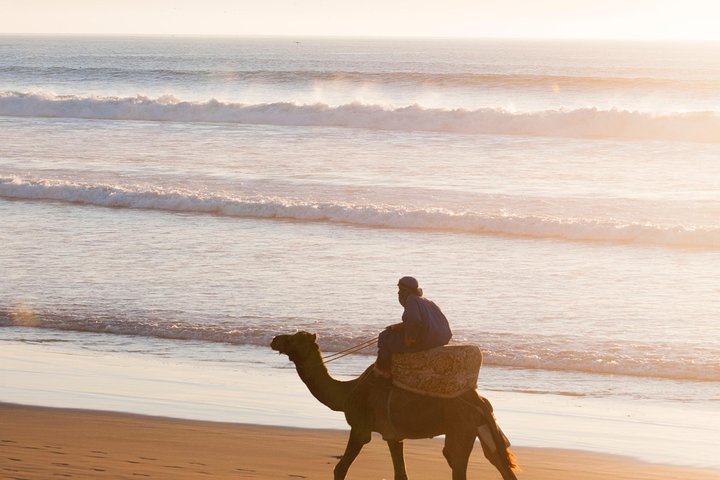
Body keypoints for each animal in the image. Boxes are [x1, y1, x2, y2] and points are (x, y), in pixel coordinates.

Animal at [271, 331, 519, 480]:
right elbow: (401, 473)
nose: (275, 339)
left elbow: (340, 468)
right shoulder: (393, 435)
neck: (348, 393)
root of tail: (479, 400)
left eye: (294, 339)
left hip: (461, 426)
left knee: (455, 458)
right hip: (481, 428)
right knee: (499, 461)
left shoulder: (360, 428)